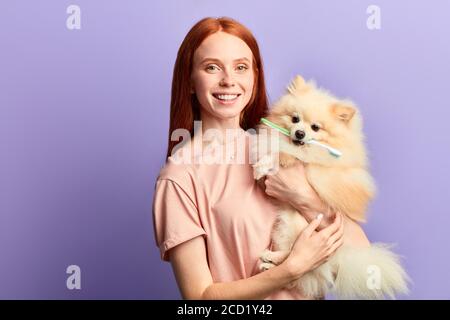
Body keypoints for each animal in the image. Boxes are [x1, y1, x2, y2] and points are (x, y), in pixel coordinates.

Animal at [251, 75, 410, 300]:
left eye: (316, 128)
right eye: (295, 119)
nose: (300, 133)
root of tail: (341, 256)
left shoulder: (312, 166)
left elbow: (284, 156)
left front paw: (264, 166)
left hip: (301, 225)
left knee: (299, 262)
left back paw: (272, 260)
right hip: (286, 224)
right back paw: (270, 261)